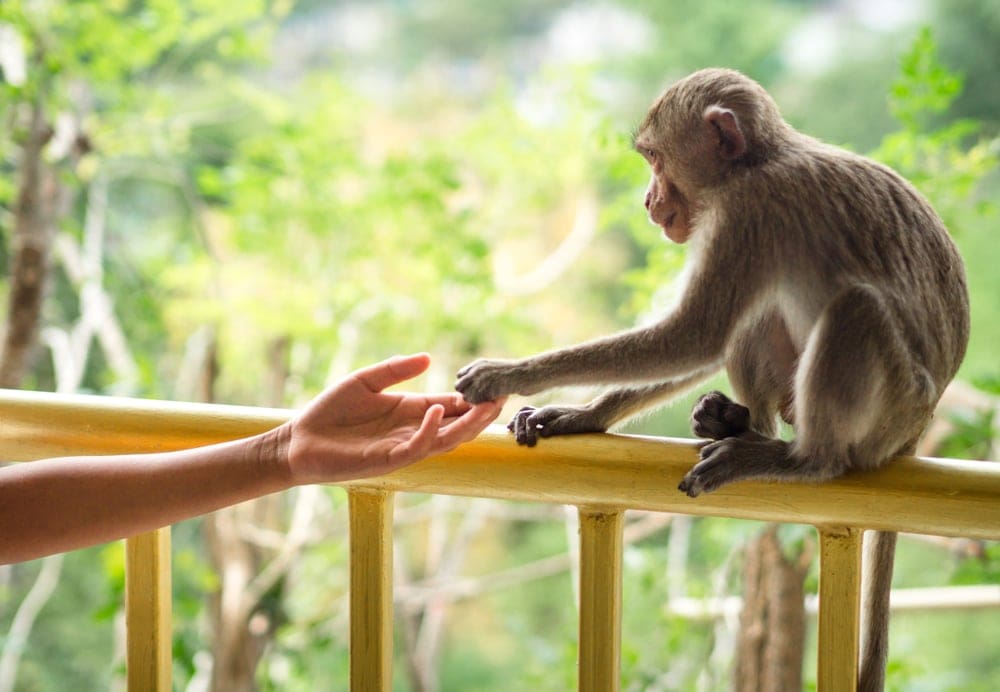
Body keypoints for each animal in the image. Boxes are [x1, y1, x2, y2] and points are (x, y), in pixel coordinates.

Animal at [454, 68, 970, 691]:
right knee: (760, 321)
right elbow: (708, 340)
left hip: (892, 405)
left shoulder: (749, 212)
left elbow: (693, 334)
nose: (649, 200)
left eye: (655, 159)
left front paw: (509, 374)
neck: (755, 163)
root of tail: (920, 425)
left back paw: (797, 458)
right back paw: (741, 425)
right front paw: (581, 414)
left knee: (855, 310)